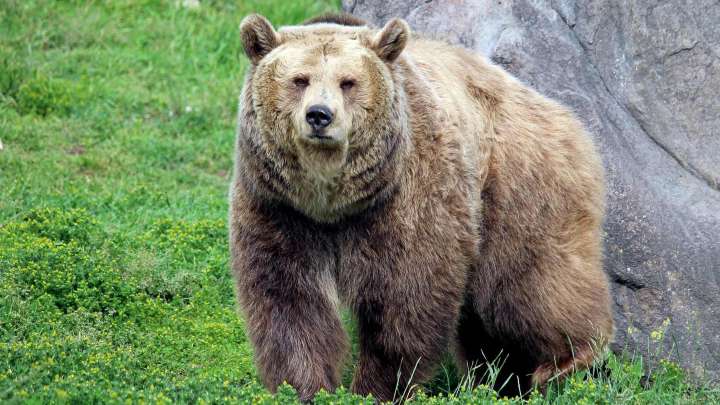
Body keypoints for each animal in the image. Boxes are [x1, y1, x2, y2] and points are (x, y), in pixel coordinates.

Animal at [229, 12, 614, 402]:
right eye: (300, 79)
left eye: (348, 82)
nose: (319, 115)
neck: (332, 203)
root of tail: (562, 113)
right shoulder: (279, 208)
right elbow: (289, 301)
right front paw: (304, 387)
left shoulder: (407, 196)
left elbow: (406, 295)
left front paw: (378, 387)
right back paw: (500, 379)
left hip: (517, 186)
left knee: (528, 285)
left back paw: (567, 361)